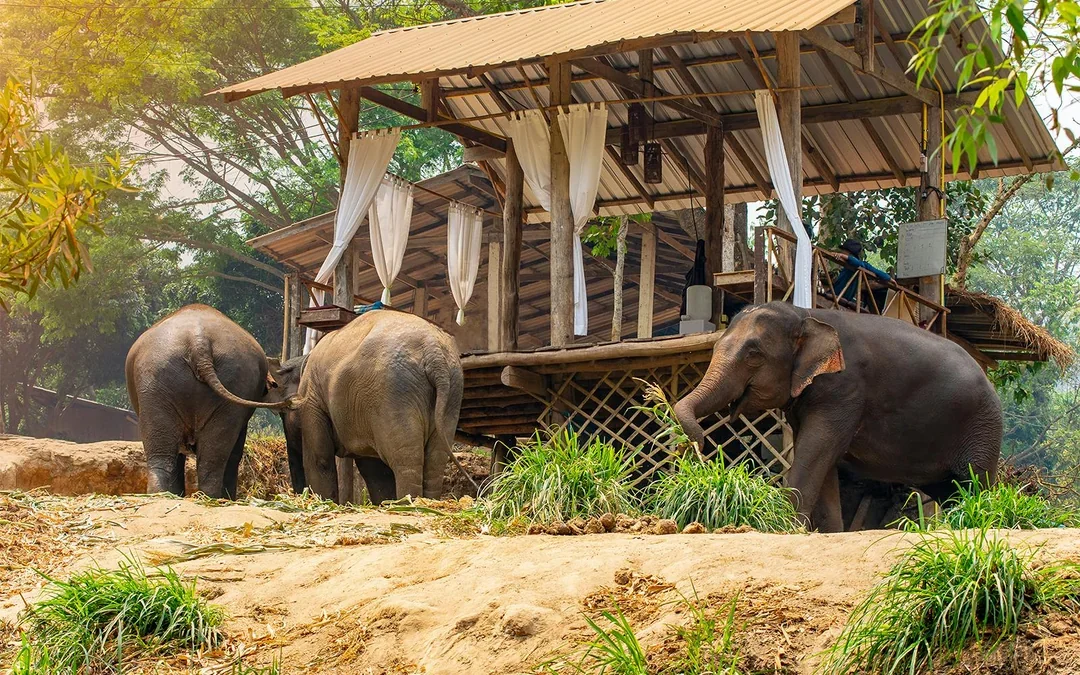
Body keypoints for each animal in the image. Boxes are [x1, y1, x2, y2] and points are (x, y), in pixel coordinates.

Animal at [279, 309, 464, 505]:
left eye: (285, 411)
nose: (298, 492)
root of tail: (433, 353)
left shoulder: (312, 398)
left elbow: (320, 460)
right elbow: (376, 471)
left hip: (393, 392)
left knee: (406, 459)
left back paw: (408, 504)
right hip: (451, 392)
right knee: (435, 459)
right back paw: (427, 503)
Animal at [673, 302, 1002, 532]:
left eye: (754, 354)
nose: (698, 446)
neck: (805, 314)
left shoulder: (844, 389)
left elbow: (816, 448)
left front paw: (785, 527)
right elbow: (822, 458)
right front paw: (828, 532)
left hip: (982, 427)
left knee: (974, 482)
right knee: (951, 491)